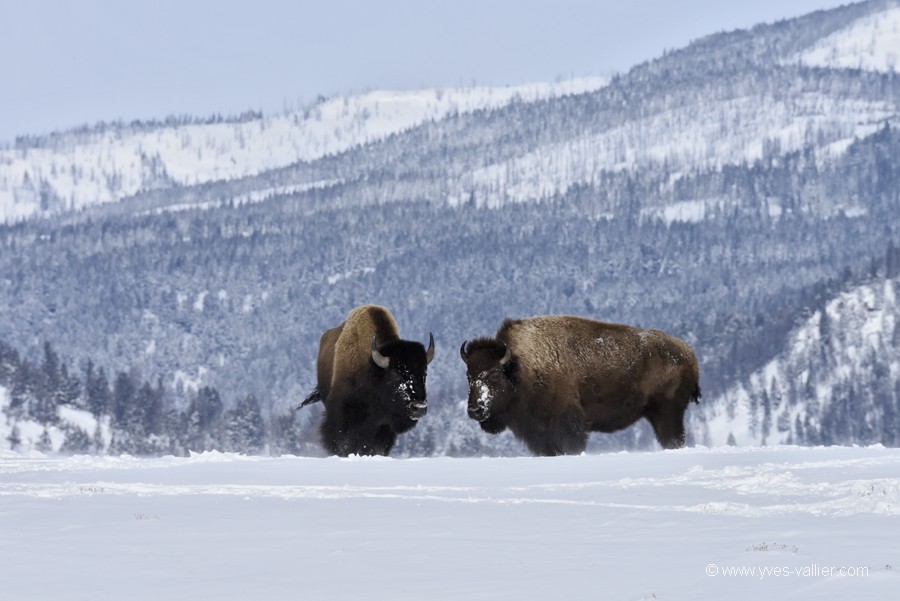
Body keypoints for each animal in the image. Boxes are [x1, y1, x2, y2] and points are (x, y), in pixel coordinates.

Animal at [298, 304, 436, 454]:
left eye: (424, 374)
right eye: (395, 374)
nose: (419, 407)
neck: (372, 369)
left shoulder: (383, 426)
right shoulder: (342, 416)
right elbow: (343, 442)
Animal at [460, 314, 700, 454]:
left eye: (494, 375)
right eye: (469, 376)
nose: (475, 409)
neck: (520, 367)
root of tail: (687, 353)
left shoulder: (568, 427)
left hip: (667, 413)